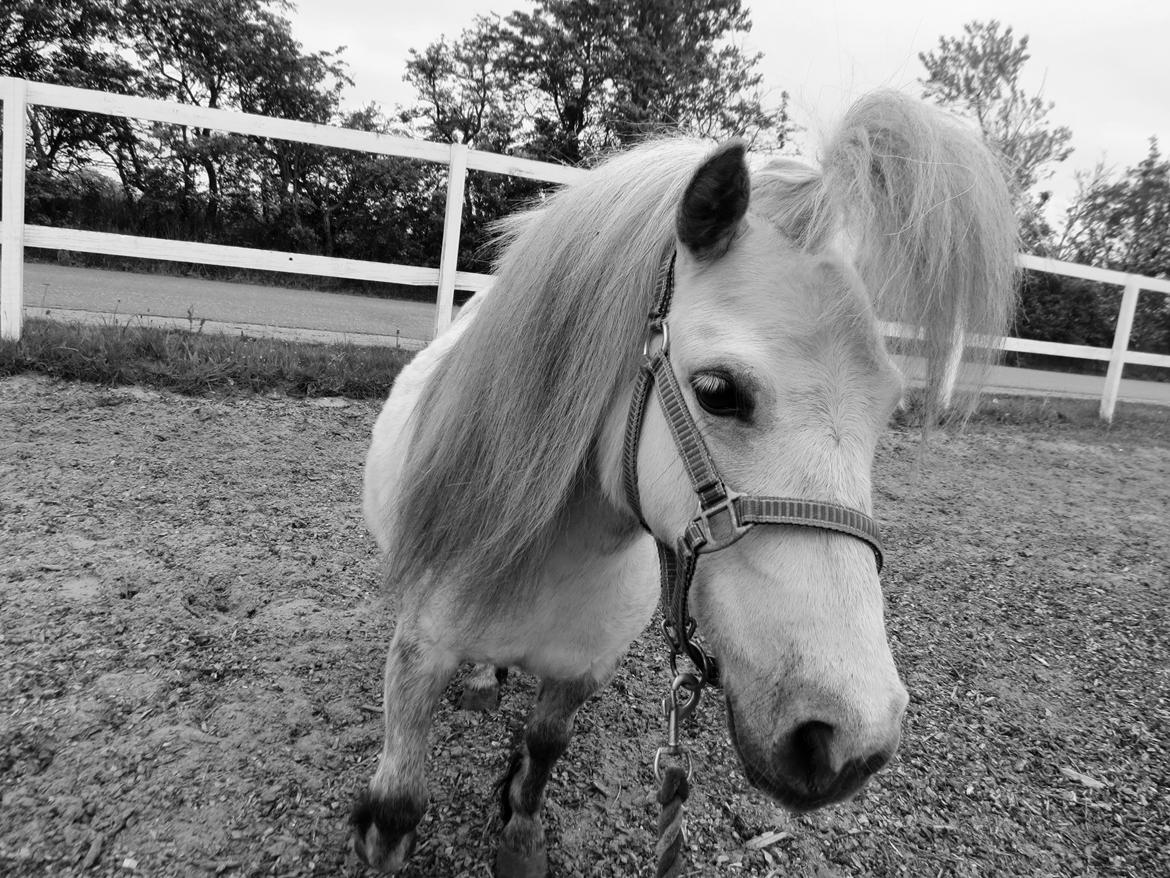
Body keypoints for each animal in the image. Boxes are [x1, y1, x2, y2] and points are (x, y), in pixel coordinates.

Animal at [350, 89, 1018, 875]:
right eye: (717, 391)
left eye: (888, 411)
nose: (850, 739)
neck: (548, 559)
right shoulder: (418, 653)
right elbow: (400, 793)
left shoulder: (582, 670)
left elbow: (544, 747)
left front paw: (519, 835)